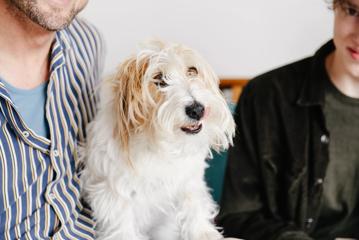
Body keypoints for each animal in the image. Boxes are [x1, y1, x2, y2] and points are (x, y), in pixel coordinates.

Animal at [82, 40, 238, 239]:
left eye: (192, 71)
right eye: (158, 80)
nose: (197, 109)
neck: (159, 146)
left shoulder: (190, 181)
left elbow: (194, 206)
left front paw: (204, 233)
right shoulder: (113, 193)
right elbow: (122, 226)